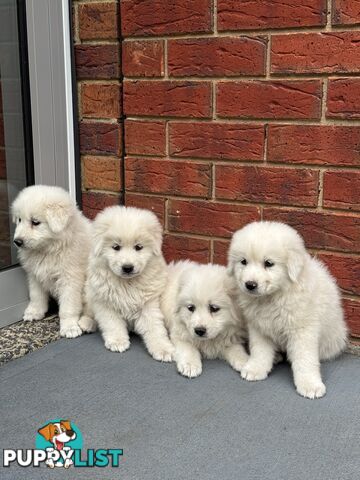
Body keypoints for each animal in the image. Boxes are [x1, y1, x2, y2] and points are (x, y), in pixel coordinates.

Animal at [11, 184, 92, 338]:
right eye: (19, 220)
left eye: (35, 222)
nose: (17, 242)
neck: (49, 249)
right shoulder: (35, 275)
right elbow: (36, 296)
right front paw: (34, 312)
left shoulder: (70, 279)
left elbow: (68, 307)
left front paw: (69, 327)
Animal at [83, 204, 176, 362]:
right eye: (116, 247)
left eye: (138, 247)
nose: (127, 267)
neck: (127, 284)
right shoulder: (105, 303)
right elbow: (112, 324)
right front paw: (118, 342)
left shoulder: (148, 303)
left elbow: (155, 327)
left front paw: (163, 350)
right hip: (90, 293)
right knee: (88, 311)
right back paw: (86, 323)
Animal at [228, 223, 348, 400]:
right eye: (243, 262)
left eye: (268, 263)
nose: (250, 285)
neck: (273, 297)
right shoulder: (258, 327)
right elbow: (260, 350)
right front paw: (255, 369)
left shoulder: (303, 330)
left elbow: (305, 359)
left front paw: (310, 385)